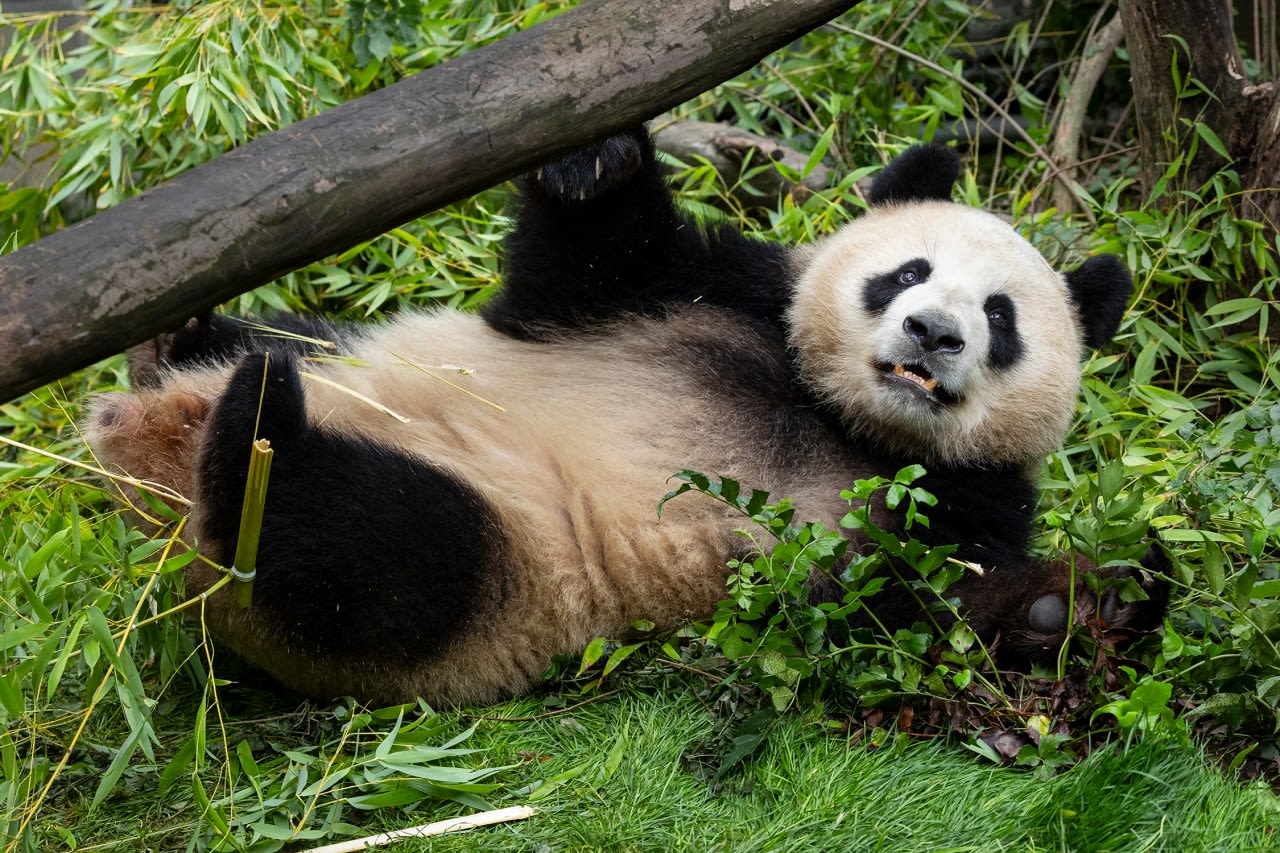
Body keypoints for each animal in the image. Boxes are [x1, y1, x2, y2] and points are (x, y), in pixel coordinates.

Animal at [85, 126, 1167, 701]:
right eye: (907, 272)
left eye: (1001, 318)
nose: (935, 331)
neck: (837, 416)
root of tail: (150, 462)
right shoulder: (709, 292)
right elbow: (582, 269)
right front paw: (595, 161)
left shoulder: (954, 501)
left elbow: (887, 613)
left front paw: (1076, 605)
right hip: (345, 354)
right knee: (281, 350)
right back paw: (183, 344)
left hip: (502, 574)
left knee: (371, 548)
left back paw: (252, 443)